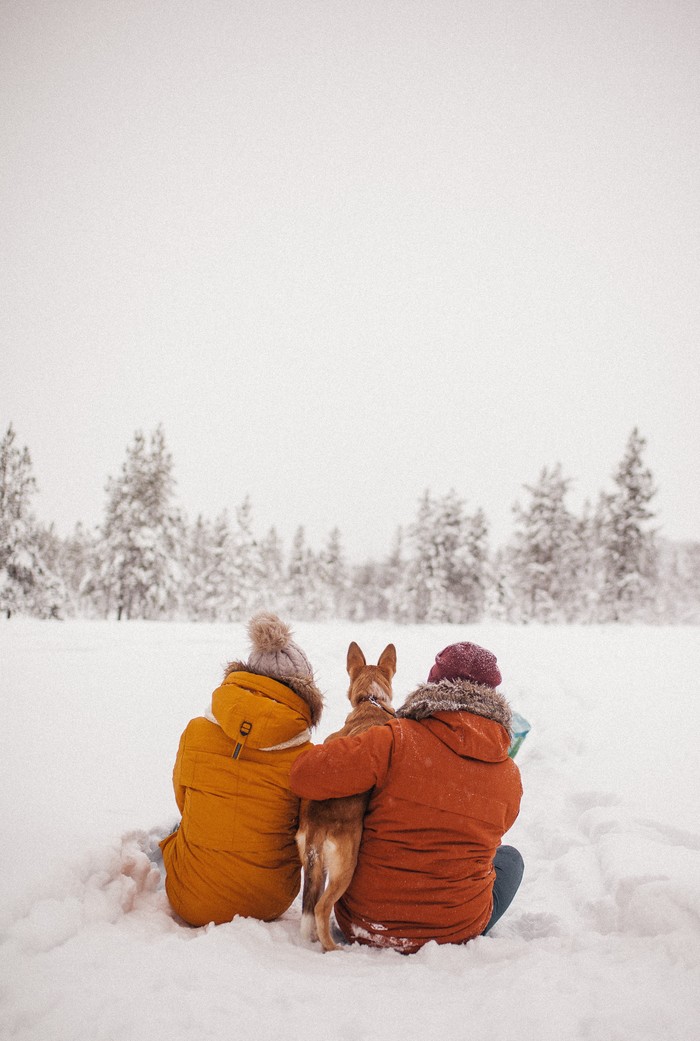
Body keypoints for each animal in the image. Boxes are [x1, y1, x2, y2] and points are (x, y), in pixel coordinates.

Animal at [295, 637, 395, 949]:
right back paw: (331, 947)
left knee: (310, 905)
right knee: (320, 907)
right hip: (345, 867)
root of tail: (317, 824)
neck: (371, 700)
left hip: (314, 863)